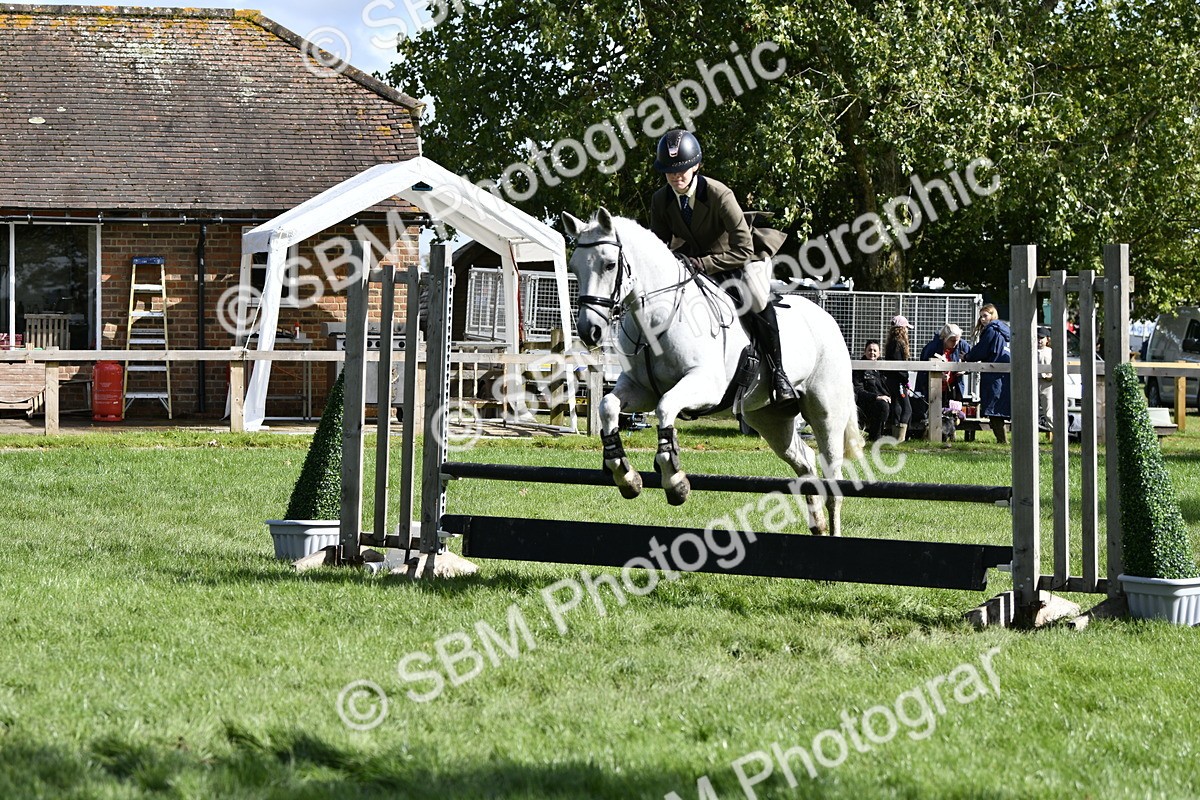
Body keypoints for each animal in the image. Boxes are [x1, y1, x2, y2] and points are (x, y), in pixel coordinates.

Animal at [562, 208, 863, 537]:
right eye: (574, 267)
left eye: (609, 264)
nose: (590, 331)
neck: (656, 317)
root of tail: (827, 319)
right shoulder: (640, 390)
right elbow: (608, 406)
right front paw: (625, 475)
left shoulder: (705, 386)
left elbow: (665, 406)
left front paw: (674, 481)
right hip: (770, 419)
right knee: (805, 462)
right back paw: (817, 524)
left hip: (826, 413)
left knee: (833, 477)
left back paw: (833, 533)